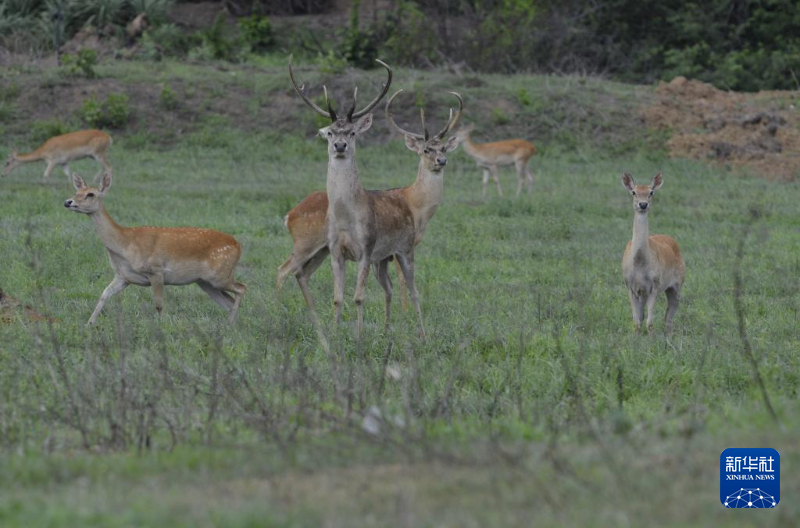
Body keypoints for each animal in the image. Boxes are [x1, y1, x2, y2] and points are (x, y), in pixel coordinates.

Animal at [64, 172, 245, 326]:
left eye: (90, 194)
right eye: (77, 191)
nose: (68, 202)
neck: (124, 245)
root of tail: (237, 245)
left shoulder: (156, 270)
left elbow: (158, 304)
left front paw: (160, 327)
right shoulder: (123, 276)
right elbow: (104, 294)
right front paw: (89, 324)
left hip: (220, 275)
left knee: (241, 288)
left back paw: (231, 323)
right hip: (205, 282)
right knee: (228, 301)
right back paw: (230, 324)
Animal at [278, 89, 462, 326]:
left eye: (444, 148)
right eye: (426, 150)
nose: (441, 160)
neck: (416, 205)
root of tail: (289, 215)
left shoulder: (381, 254)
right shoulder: (402, 246)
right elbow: (400, 280)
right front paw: (405, 313)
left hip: (321, 250)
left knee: (302, 274)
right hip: (305, 242)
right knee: (282, 270)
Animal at [288, 57, 434, 338]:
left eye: (352, 132)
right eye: (331, 132)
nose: (340, 145)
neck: (346, 217)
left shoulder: (366, 247)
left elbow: (358, 297)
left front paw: (359, 337)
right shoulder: (335, 250)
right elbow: (337, 298)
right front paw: (334, 336)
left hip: (405, 249)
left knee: (414, 290)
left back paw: (423, 336)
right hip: (383, 259)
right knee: (391, 288)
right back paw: (388, 333)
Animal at [620, 171, 684, 336]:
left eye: (651, 192)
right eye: (633, 192)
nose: (643, 204)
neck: (640, 263)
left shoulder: (655, 284)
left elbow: (650, 323)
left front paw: (651, 337)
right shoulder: (629, 285)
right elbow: (636, 322)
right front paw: (635, 337)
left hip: (678, 283)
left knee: (669, 316)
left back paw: (669, 335)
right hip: (643, 293)